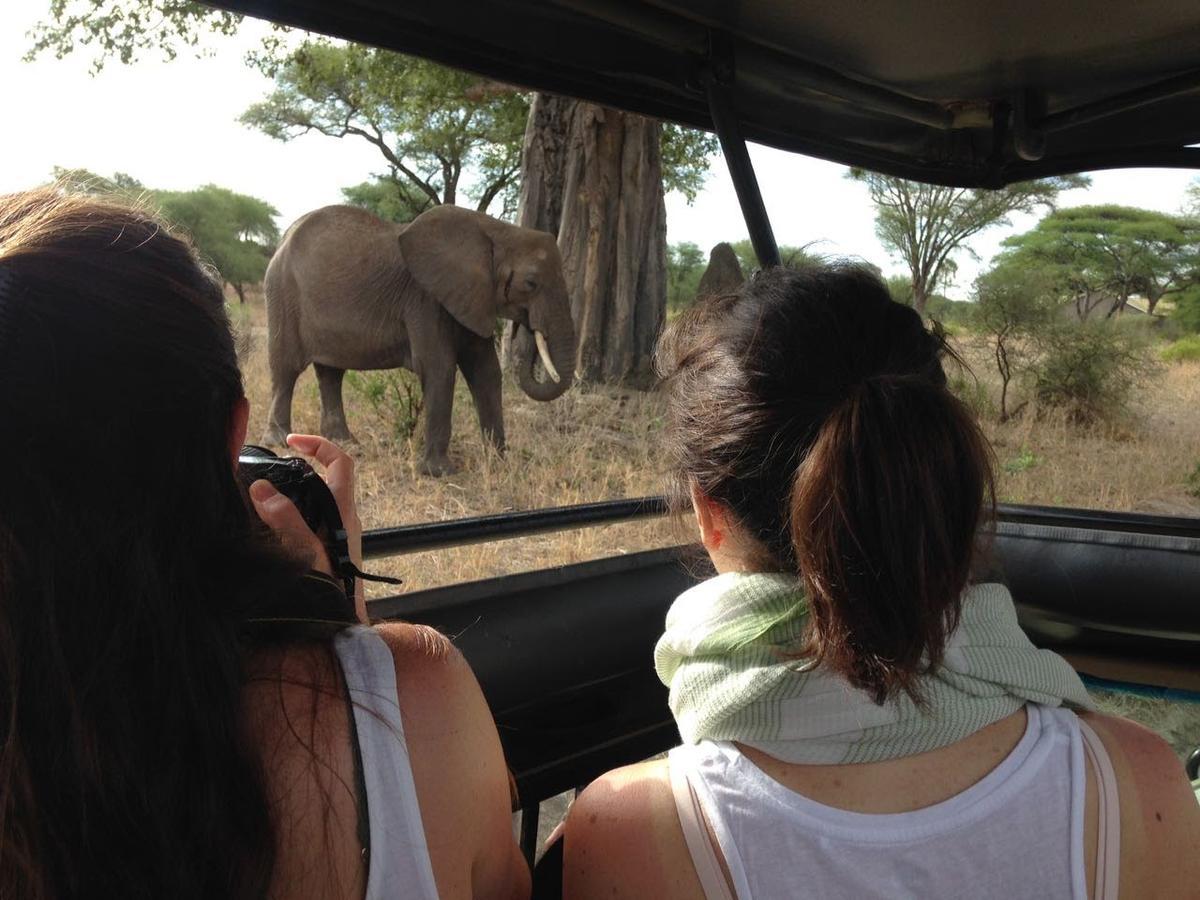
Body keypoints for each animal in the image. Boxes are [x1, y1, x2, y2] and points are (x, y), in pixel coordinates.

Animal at [264, 202, 580, 472]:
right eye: (531, 283)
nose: (525, 328)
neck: (498, 230)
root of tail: (284, 238)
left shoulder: (470, 297)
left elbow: (486, 371)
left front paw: (500, 463)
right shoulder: (425, 299)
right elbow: (439, 368)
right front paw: (440, 472)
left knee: (331, 373)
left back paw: (344, 443)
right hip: (282, 292)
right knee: (286, 369)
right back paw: (280, 441)